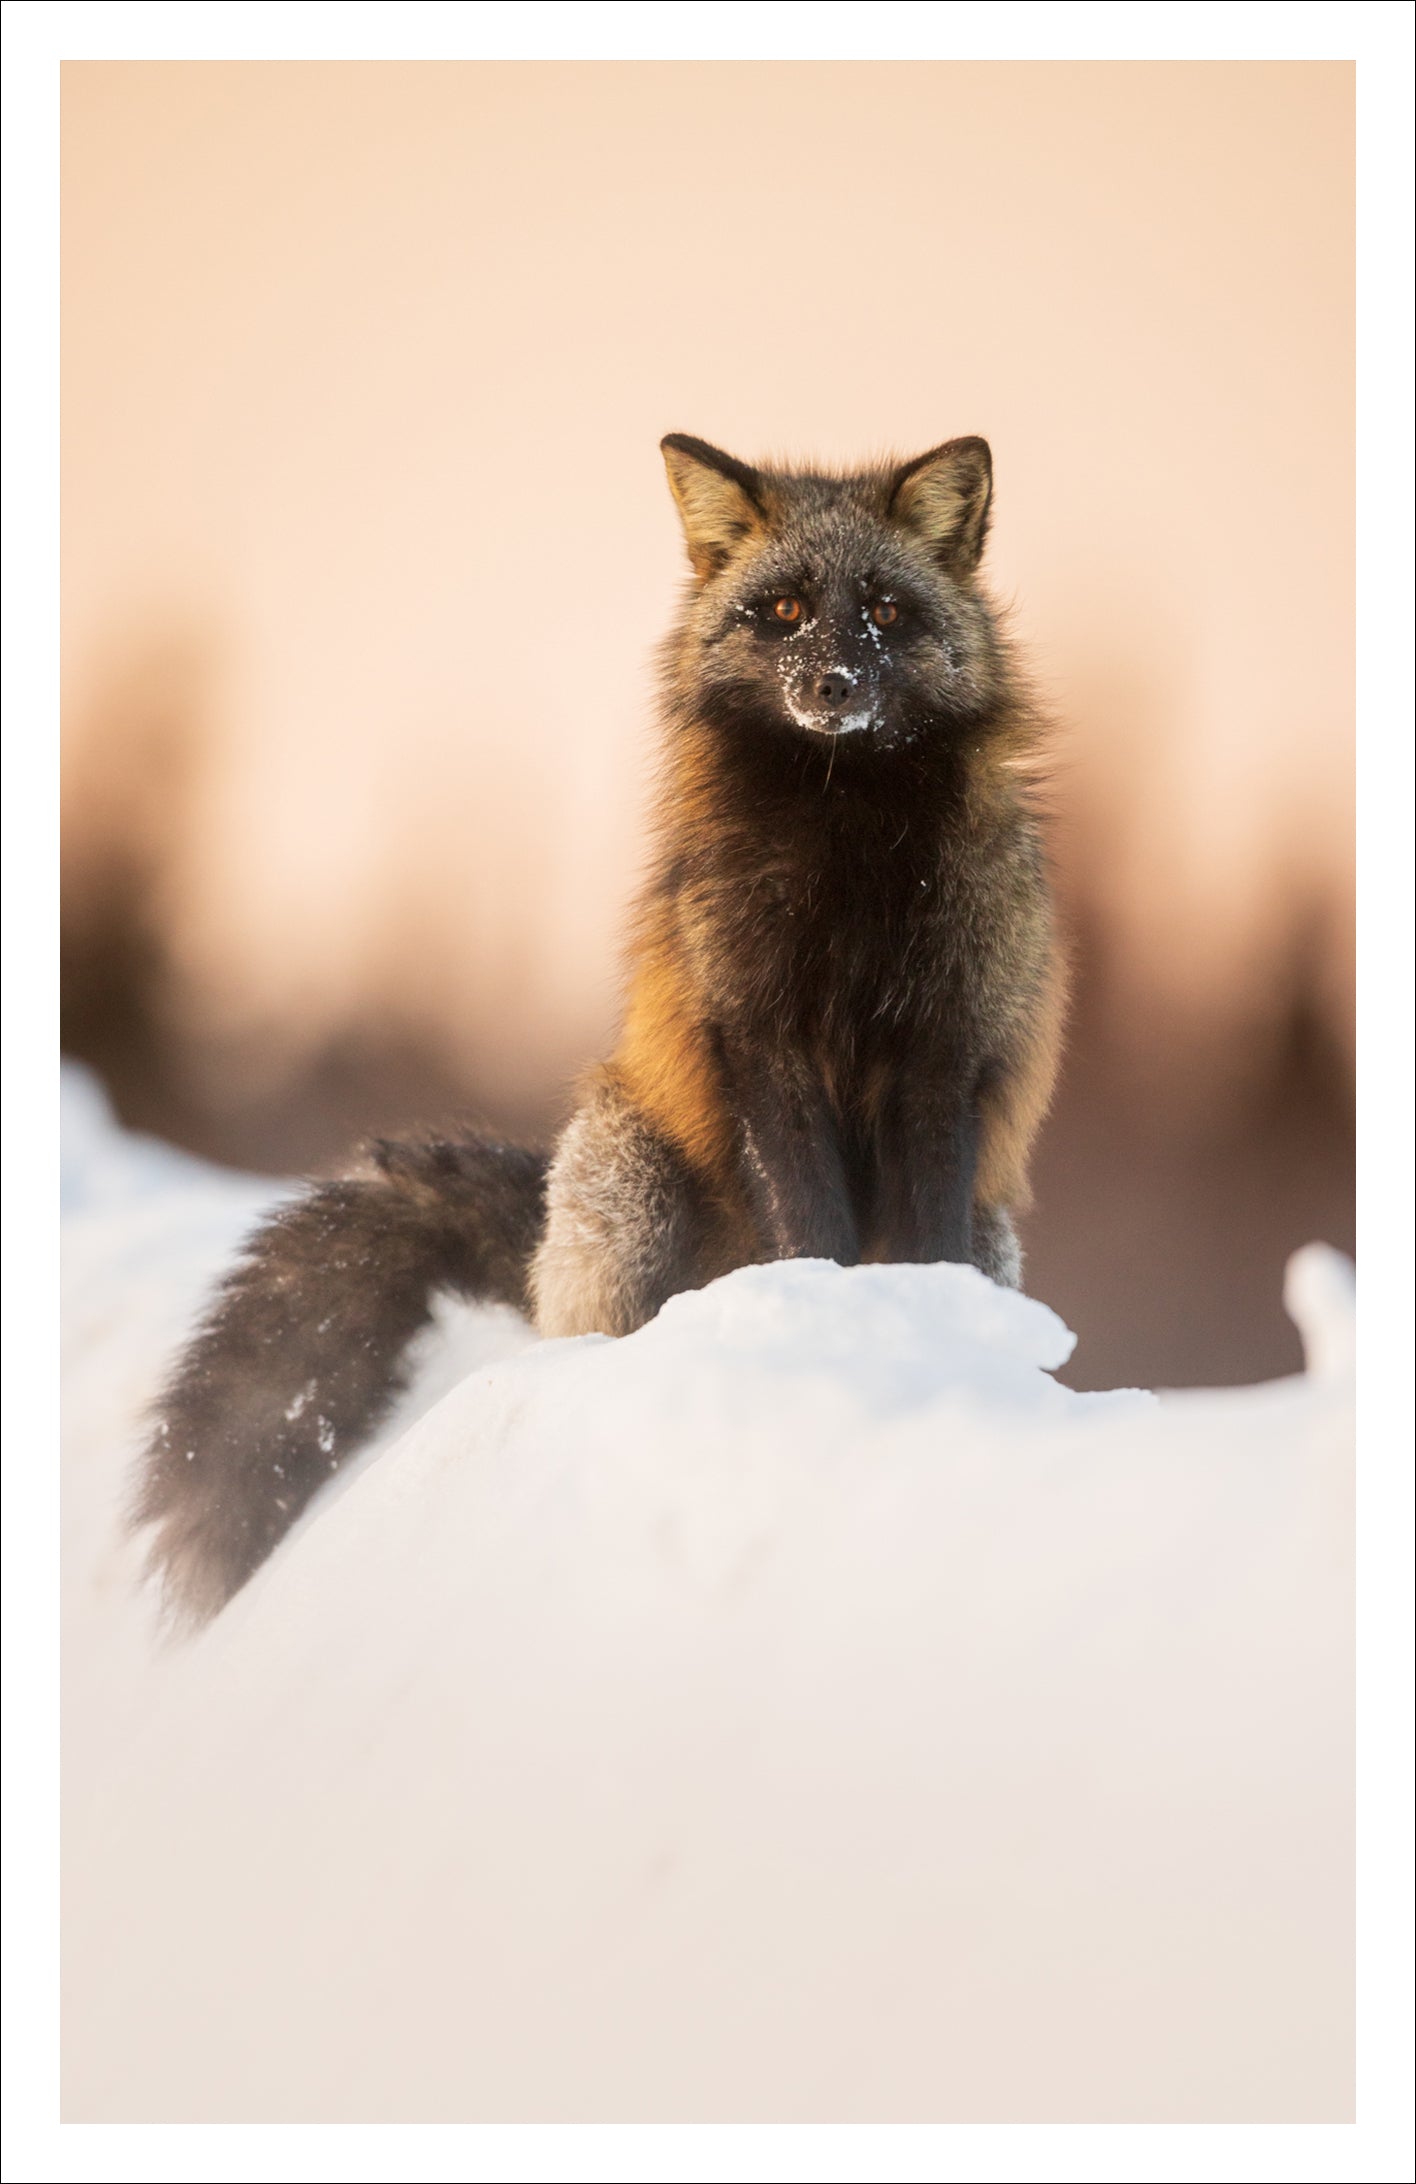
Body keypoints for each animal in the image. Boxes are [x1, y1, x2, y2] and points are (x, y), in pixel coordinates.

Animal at [135, 430, 1062, 1624]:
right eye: (787, 610)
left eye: (887, 612)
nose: (834, 685)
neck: (847, 856)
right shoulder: (757, 1037)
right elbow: (811, 1224)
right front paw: (818, 1311)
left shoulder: (942, 1051)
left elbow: (920, 1235)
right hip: (633, 1177)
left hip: (987, 1230)